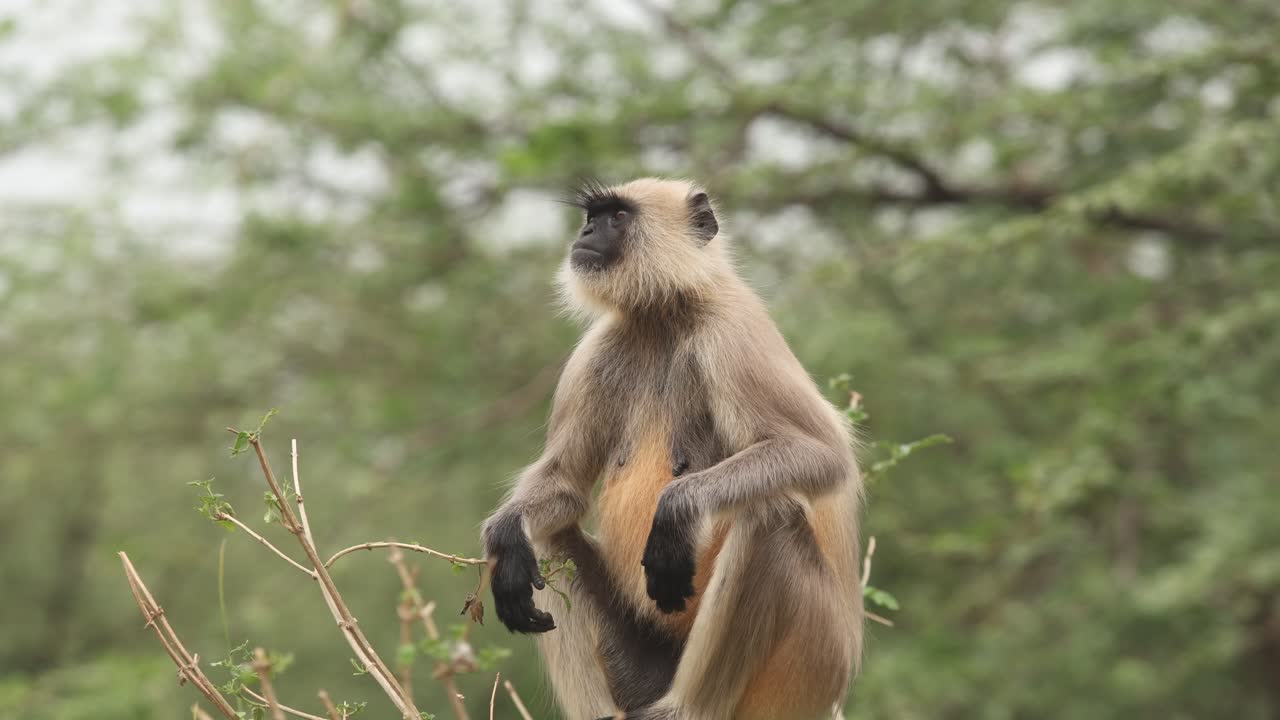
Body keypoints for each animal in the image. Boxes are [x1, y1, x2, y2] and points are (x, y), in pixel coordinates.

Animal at [481, 178, 863, 720]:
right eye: (593, 217)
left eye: (618, 216)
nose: (586, 233)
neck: (661, 315)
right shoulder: (595, 352)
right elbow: (563, 485)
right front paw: (505, 533)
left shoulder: (731, 331)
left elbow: (823, 454)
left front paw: (677, 511)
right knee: (549, 535)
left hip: (809, 668)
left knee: (770, 513)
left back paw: (684, 708)